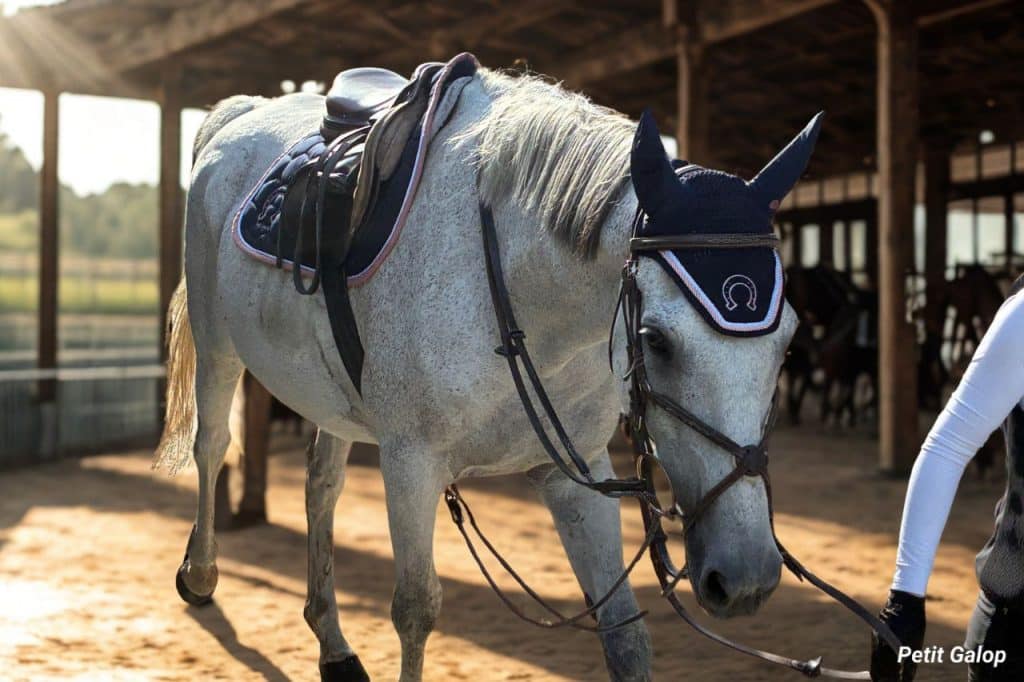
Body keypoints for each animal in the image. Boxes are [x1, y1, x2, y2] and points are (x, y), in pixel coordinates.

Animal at [155, 65, 814, 681]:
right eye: (656, 341)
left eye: (787, 341)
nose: (747, 575)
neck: (521, 295)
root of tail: (240, 114)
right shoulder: (411, 464)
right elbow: (415, 610)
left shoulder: (576, 472)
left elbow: (624, 633)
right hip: (218, 344)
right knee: (212, 444)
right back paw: (199, 573)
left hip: (331, 399)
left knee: (321, 487)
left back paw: (334, 645)